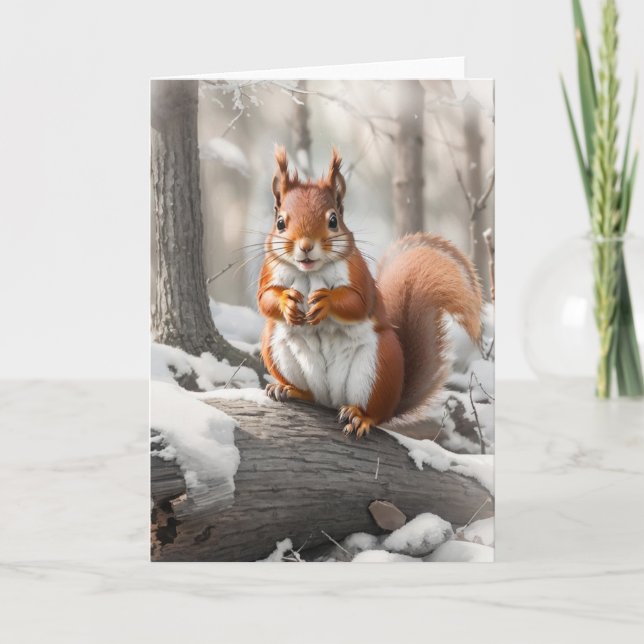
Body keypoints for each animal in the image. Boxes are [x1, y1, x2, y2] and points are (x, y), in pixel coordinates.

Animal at [257, 146, 483, 438]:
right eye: (280, 223)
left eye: (333, 220)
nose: (306, 246)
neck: (309, 272)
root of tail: (331, 400)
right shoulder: (269, 269)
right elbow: (264, 298)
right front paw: (287, 301)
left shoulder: (359, 273)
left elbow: (358, 302)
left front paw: (326, 300)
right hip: (276, 346)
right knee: (310, 395)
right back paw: (288, 389)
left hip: (377, 369)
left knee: (375, 413)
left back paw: (360, 416)